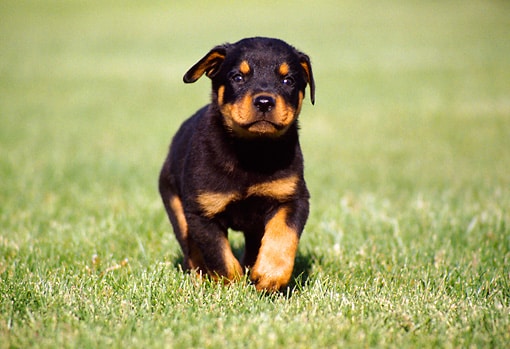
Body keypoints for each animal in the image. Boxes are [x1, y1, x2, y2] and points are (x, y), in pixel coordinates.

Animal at [159, 36, 312, 290]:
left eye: (288, 80)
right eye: (238, 77)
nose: (264, 102)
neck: (250, 151)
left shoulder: (292, 198)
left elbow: (283, 235)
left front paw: (270, 275)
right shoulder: (201, 212)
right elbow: (219, 256)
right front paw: (233, 286)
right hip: (174, 203)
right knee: (191, 249)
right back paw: (199, 279)